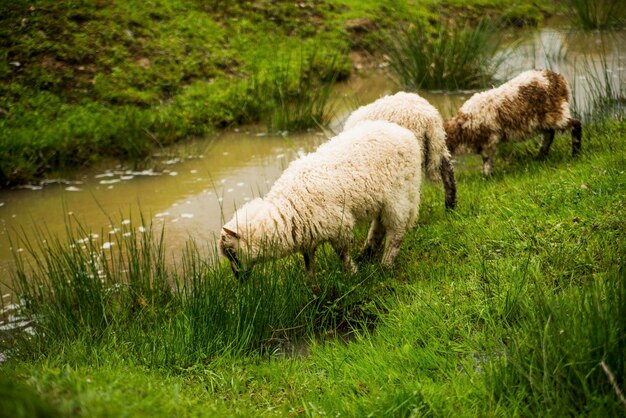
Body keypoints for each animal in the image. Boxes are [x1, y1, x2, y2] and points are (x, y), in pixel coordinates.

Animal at [218, 120, 420, 278]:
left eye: (232, 253)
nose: (238, 278)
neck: (286, 209)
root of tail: (404, 133)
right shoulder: (308, 235)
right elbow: (308, 263)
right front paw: (311, 286)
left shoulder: (339, 225)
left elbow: (342, 254)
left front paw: (352, 274)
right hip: (383, 199)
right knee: (379, 224)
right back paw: (368, 252)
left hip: (399, 193)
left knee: (396, 231)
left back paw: (386, 264)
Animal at [444, 68, 580, 175]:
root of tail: (558, 78)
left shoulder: (489, 141)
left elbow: (487, 161)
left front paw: (487, 178)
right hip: (544, 119)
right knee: (549, 135)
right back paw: (540, 157)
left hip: (556, 112)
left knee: (576, 124)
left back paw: (575, 153)